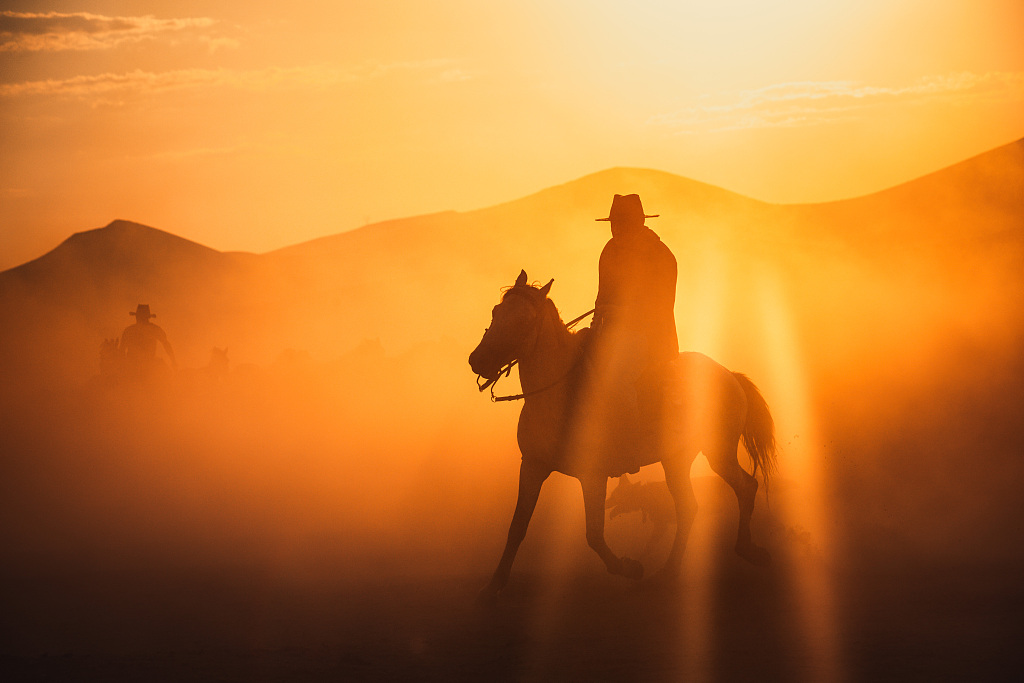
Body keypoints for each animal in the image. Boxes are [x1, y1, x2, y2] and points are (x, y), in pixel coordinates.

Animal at [468, 270, 774, 602]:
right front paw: (492, 586)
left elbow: (593, 533)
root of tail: (730, 375)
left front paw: (629, 567)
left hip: (718, 451)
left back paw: (747, 551)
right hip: (676, 460)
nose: (478, 361)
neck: (559, 394)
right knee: (689, 507)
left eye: (526, 321)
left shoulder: (592, 476)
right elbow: (517, 527)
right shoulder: (533, 466)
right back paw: (667, 573)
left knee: (745, 488)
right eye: (496, 312)